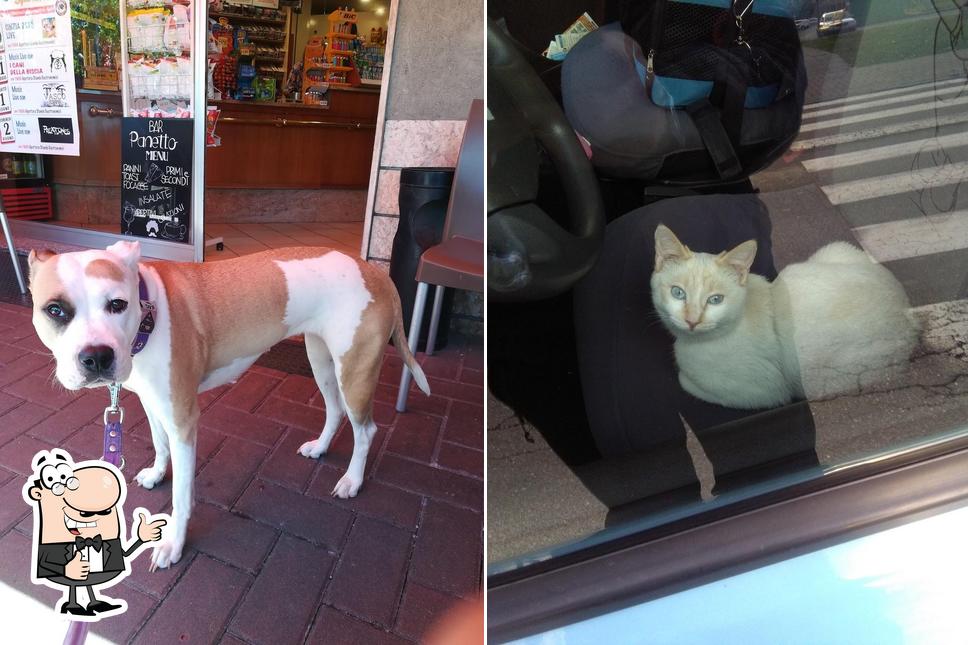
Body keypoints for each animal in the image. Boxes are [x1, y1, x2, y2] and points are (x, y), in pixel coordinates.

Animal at [28, 240, 430, 568]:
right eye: (55, 311)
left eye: (116, 304)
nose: (97, 357)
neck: (146, 314)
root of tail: (375, 272)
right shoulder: (153, 403)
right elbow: (159, 444)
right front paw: (157, 473)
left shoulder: (184, 419)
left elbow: (182, 495)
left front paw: (173, 543)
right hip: (321, 358)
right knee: (335, 410)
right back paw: (320, 448)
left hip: (356, 370)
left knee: (366, 429)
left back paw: (353, 480)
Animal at [652, 226, 916, 408]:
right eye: (678, 293)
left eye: (715, 300)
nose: (692, 320)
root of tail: (908, 313)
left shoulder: (762, 393)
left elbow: (685, 381)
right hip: (836, 248)